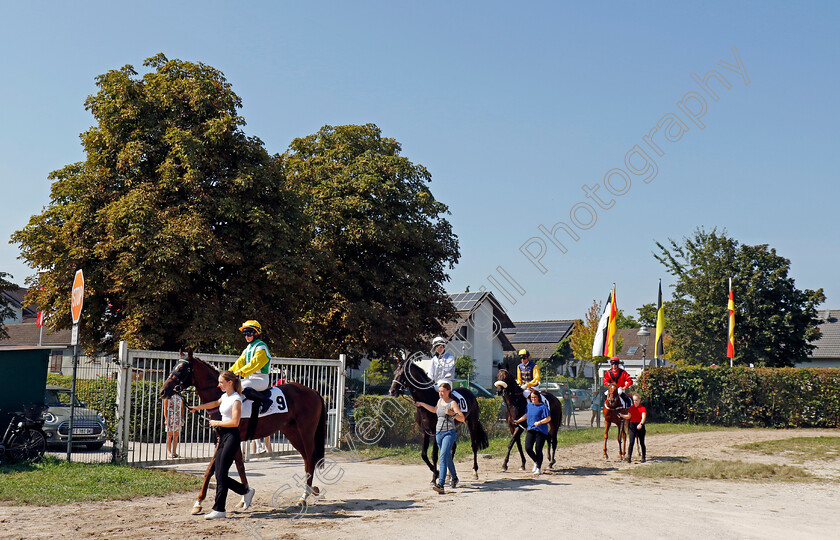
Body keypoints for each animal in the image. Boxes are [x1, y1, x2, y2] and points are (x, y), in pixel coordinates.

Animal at [159, 350, 326, 516]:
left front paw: (199, 502)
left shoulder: (223, 440)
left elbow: (210, 469)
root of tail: (314, 391)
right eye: (174, 366)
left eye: (181, 369)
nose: (163, 391)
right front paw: (244, 498)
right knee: (306, 459)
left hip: (306, 432)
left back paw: (304, 496)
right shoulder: (233, 440)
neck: (222, 396)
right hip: (292, 433)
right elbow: (240, 467)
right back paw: (310, 490)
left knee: (310, 459)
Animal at [388, 358, 488, 486]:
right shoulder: (424, 432)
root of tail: (470, 392)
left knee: (474, 445)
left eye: (402, 374)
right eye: (395, 372)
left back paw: (475, 472)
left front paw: (435, 477)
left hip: (472, 423)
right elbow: (424, 454)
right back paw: (449, 476)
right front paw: (437, 473)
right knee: (452, 447)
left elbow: (434, 455)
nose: (392, 391)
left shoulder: (436, 432)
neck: (427, 401)